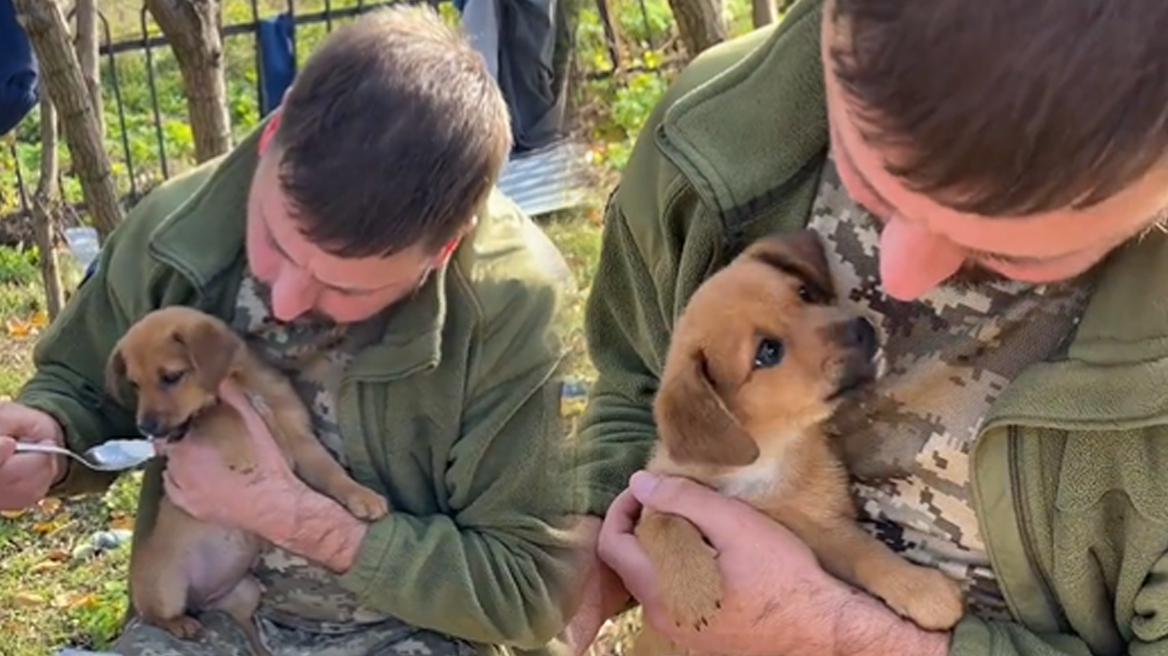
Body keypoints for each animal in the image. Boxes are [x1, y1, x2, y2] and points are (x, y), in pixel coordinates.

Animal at [106, 305, 387, 653]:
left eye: (170, 377)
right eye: (135, 384)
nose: (147, 428)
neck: (248, 383)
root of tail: (206, 600)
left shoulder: (304, 444)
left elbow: (334, 474)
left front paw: (364, 497)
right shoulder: (200, 424)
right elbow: (222, 412)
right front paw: (243, 452)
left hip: (247, 591)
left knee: (246, 626)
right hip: (165, 585)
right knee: (156, 615)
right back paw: (182, 625)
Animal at [635, 228, 962, 653]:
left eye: (804, 293)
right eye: (768, 352)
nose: (863, 329)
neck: (766, 459)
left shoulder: (821, 528)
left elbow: (868, 552)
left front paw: (922, 590)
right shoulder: (653, 492)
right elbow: (663, 522)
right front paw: (692, 589)